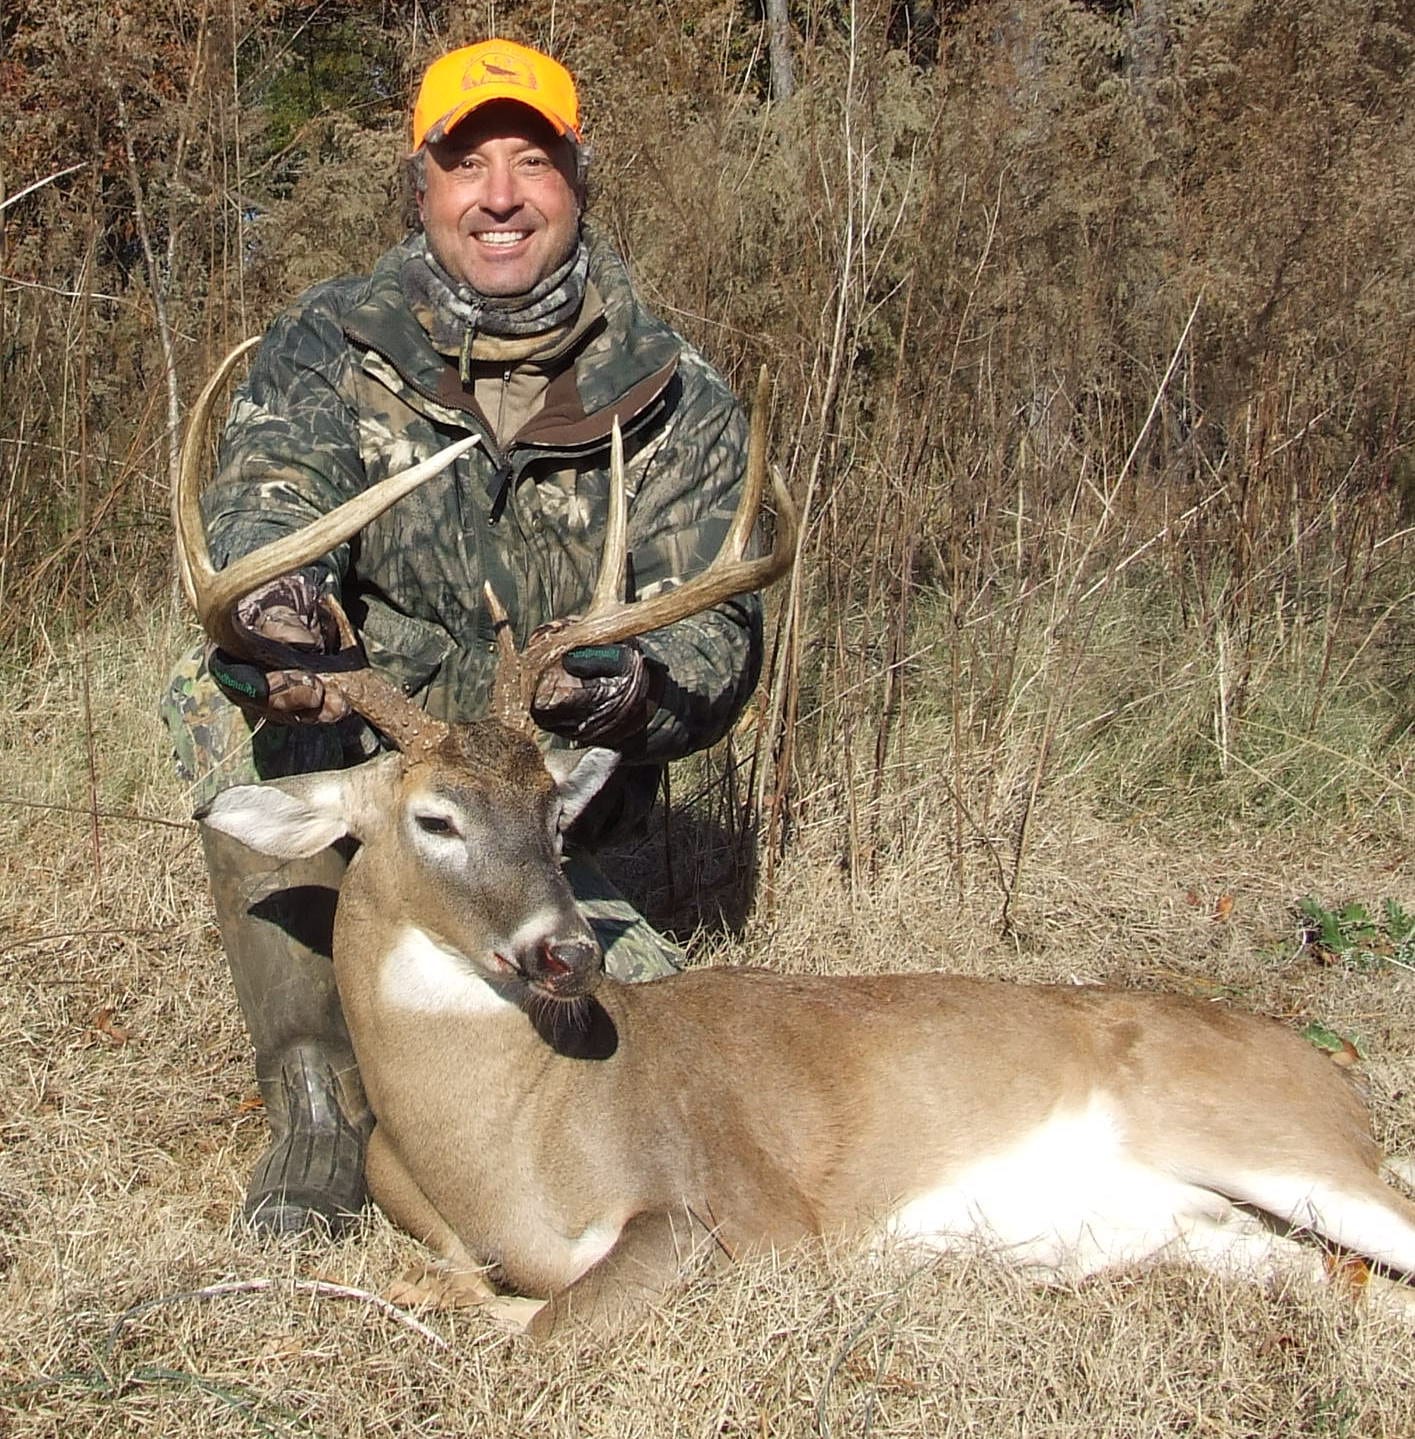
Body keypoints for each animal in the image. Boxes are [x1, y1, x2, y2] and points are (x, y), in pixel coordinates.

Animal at [178, 341, 1415, 1340]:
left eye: (551, 809)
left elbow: (542, 1328)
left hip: (1281, 1139)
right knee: (1337, 1283)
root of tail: (1334, 1079)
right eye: (433, 816)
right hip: (1215, 1224)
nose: (566, 952)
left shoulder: (744, 1214)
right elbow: (459, 1287)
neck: (507, 1136)